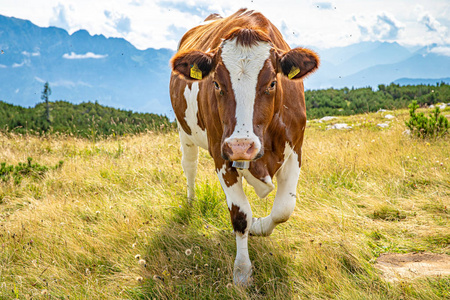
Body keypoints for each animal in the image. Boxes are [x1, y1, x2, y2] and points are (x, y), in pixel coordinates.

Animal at [170, 8, 320, 286]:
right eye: (216, 84)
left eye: (272, 83)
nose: (242, 146)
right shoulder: (222, 156)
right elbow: (240, 217)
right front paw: (242, 271)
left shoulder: (296, 149)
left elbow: (283, 209)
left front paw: (260, 227)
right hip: (184, 130)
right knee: (189, 166)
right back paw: (191, 201)